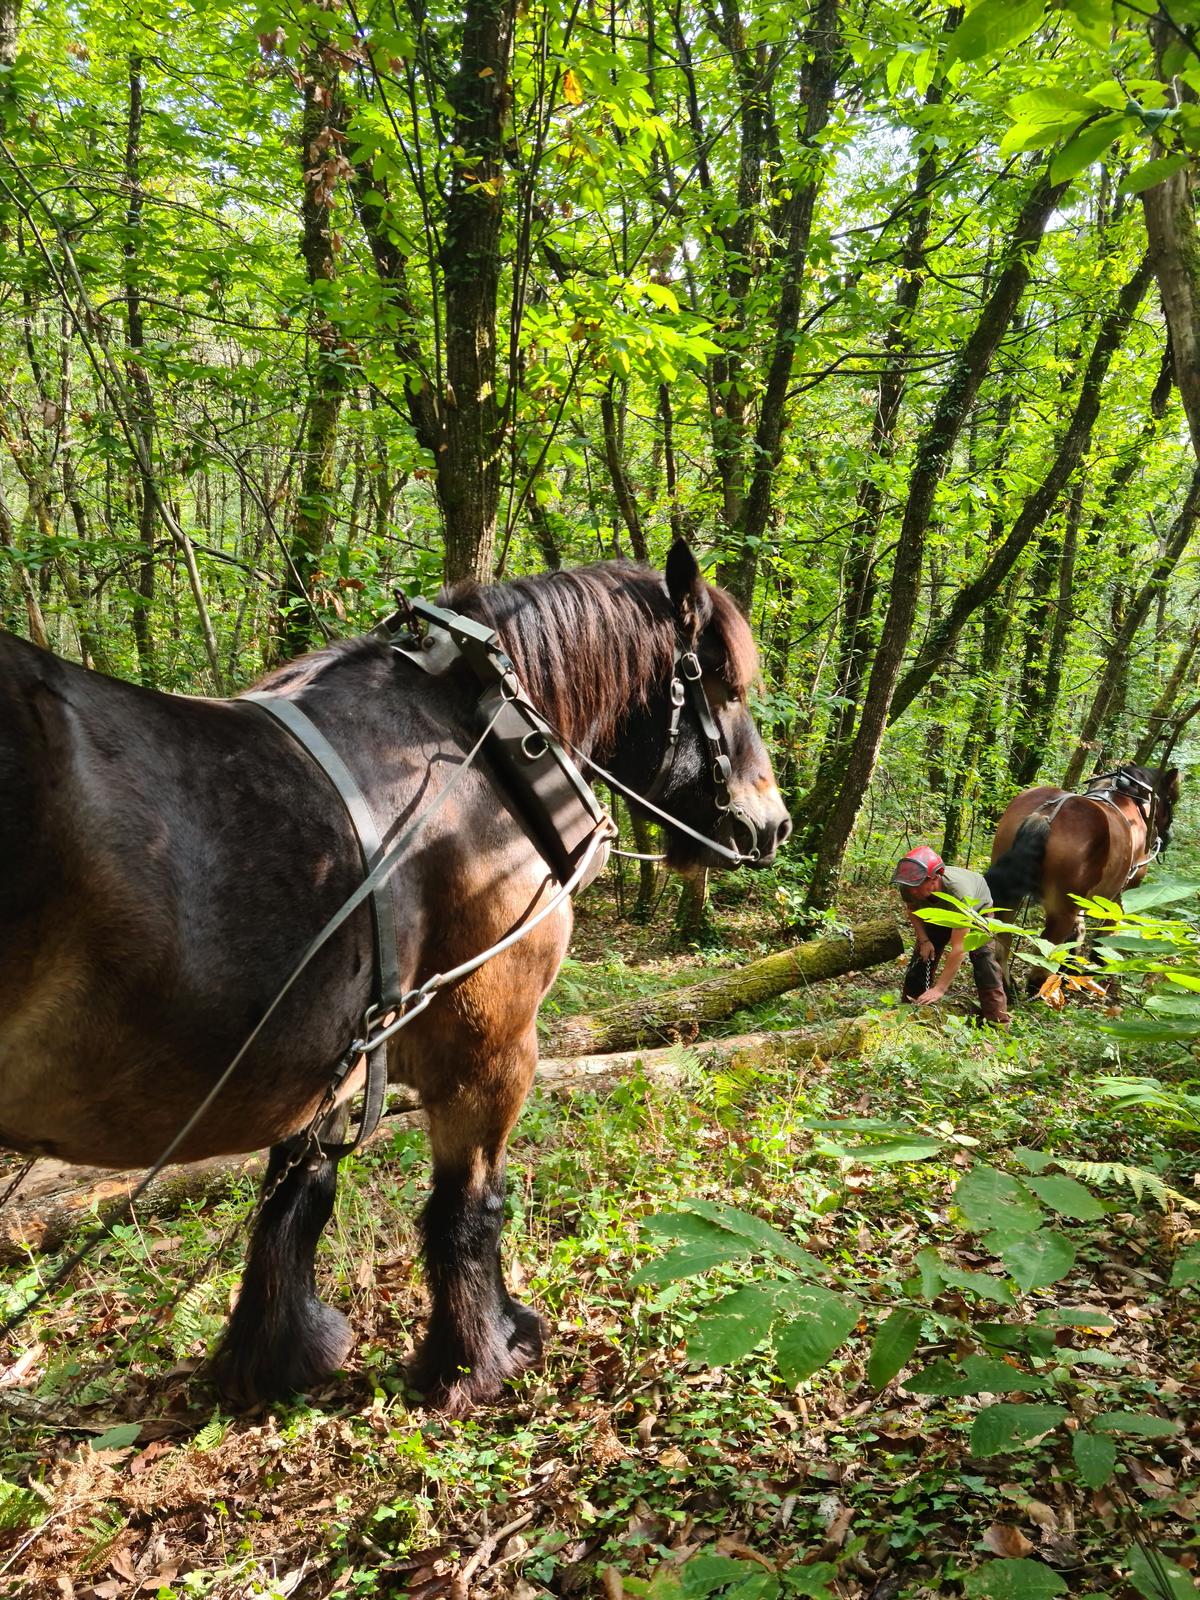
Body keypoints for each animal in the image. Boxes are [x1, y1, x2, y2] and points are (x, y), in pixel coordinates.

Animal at [0, 542, 790, 1413]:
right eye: (727, 687)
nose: (775, 824)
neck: (478, 746)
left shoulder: (325, 1052)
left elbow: (293, 1201)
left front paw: (281, 1354)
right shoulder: (490, 1048)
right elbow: (468, 1209)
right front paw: (482, 1355)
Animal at [986, 763, 1180, 992]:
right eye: (1171, 799)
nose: (1168, 836)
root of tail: (1045, 815)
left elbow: (1078, 931)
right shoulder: (1125, 893)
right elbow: (1107, 933)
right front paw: (1098, 966)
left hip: (1013, 895)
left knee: (1003, 938)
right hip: (1061, 912)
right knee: (1044, 958)